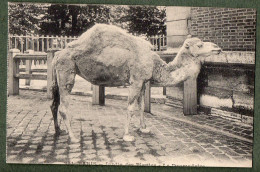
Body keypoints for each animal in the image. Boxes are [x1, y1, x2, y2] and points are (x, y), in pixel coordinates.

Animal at [49, 24, 221, 142]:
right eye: (199, 45)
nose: (217, 48)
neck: (155, 63)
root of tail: (57, 54)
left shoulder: (144, 81)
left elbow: (141, 105)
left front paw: (143, 128)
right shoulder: (136, 80)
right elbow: (131, 107)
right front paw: (127, 135)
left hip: (58, 76)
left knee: (54, 103)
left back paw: (58, 130)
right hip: (67, 71)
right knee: (63, 106)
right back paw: (73, 137)